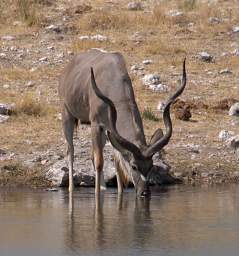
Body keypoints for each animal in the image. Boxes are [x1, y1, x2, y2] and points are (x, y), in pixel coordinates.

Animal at [59, 49, 187, 197]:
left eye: (151, 166)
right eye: (134, 166)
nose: (145, 192)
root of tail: (67, 69)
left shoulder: (111, 130)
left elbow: (117, 162)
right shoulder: (96, 124)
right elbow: (99, 161)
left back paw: (103, 187)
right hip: (67, 115)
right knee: (71, 151)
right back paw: (72, 188)